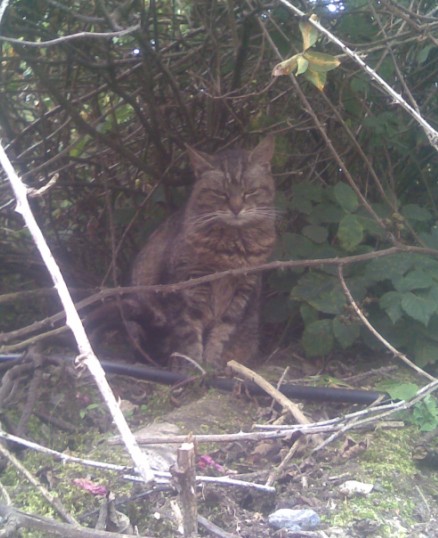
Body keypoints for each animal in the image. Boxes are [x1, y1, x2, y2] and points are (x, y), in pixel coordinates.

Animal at [130, 136, 278, 366]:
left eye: (249, 191)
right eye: (220, 193)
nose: (236, 208)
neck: (232, 247)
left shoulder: (243, 289)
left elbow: (223, 331)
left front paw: (211, 362)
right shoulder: (186, 285)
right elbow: (188, 331)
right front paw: (193, 365)